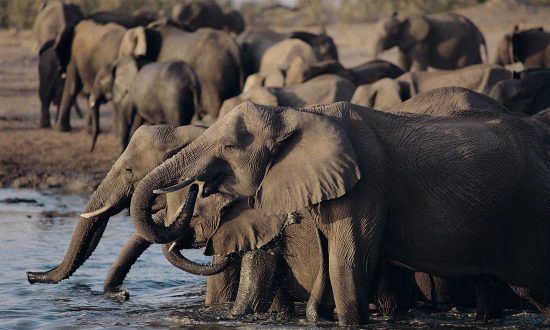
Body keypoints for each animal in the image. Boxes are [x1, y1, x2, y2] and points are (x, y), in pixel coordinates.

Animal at [127, 86, 550, 326]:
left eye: (231, 146)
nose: (195, 187)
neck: (303, 115)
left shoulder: (366, 186)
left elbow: (347, 265)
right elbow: (332, 264)